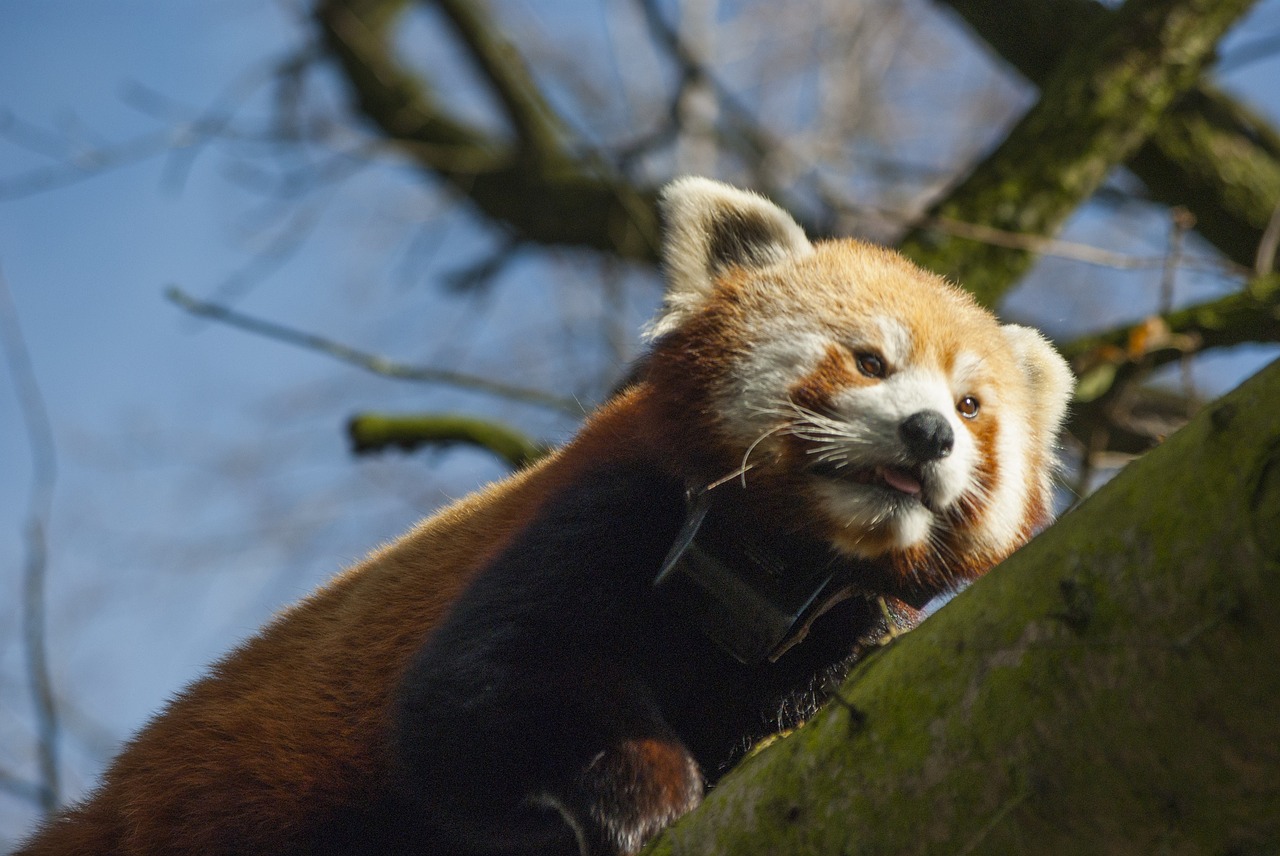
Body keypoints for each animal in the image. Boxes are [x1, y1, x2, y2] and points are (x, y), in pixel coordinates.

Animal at [20, 176, 1075, 849]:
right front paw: (641, 795)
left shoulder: (826, 625)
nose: (929, 436)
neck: (764, 571)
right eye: (869, 361)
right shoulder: (600, 515)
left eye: (972, 407)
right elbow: (480, 690)